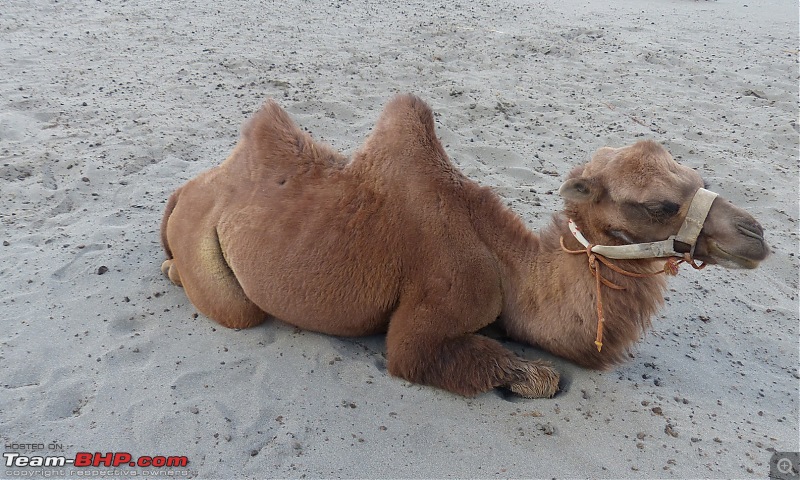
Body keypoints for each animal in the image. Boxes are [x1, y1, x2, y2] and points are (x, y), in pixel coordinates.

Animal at [161, 94, 768, 398]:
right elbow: (533, 374)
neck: (507, 268)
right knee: (234, 307)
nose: (756, 235)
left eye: (695, 176)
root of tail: (188, 189)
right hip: (213, 263)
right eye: (658, 205)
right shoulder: (441, 304)